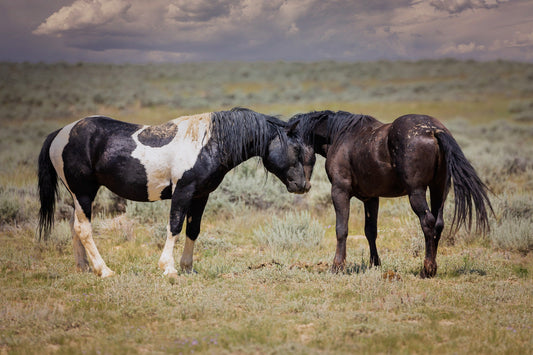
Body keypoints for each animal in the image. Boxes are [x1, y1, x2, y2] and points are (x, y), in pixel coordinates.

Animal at [38, 108, 312, 278]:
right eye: (297, 149)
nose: (304, 186)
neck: (208, 143)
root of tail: (60, 133)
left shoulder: (201, 195)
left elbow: (193, 229)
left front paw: (188, 268)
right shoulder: (183, 192)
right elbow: (175, 226)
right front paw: (168, 268)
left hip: (78, 196)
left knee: (75, 227)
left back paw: (84, 268)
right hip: (84, 192)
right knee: (84, 229)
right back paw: (104, 270)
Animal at [288, 111, 492, 278]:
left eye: (295, 149)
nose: (299, 185)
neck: (339, 136)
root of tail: (433, 131)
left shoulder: (340, 191)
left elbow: (341, 229)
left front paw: (337, 266)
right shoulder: (371, 198)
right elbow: (370, 231)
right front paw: (375, 264)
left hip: (416, 192)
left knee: (427, 222)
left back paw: (427, 270)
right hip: (438, 189)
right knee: (439, 224)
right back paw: (433, 267)